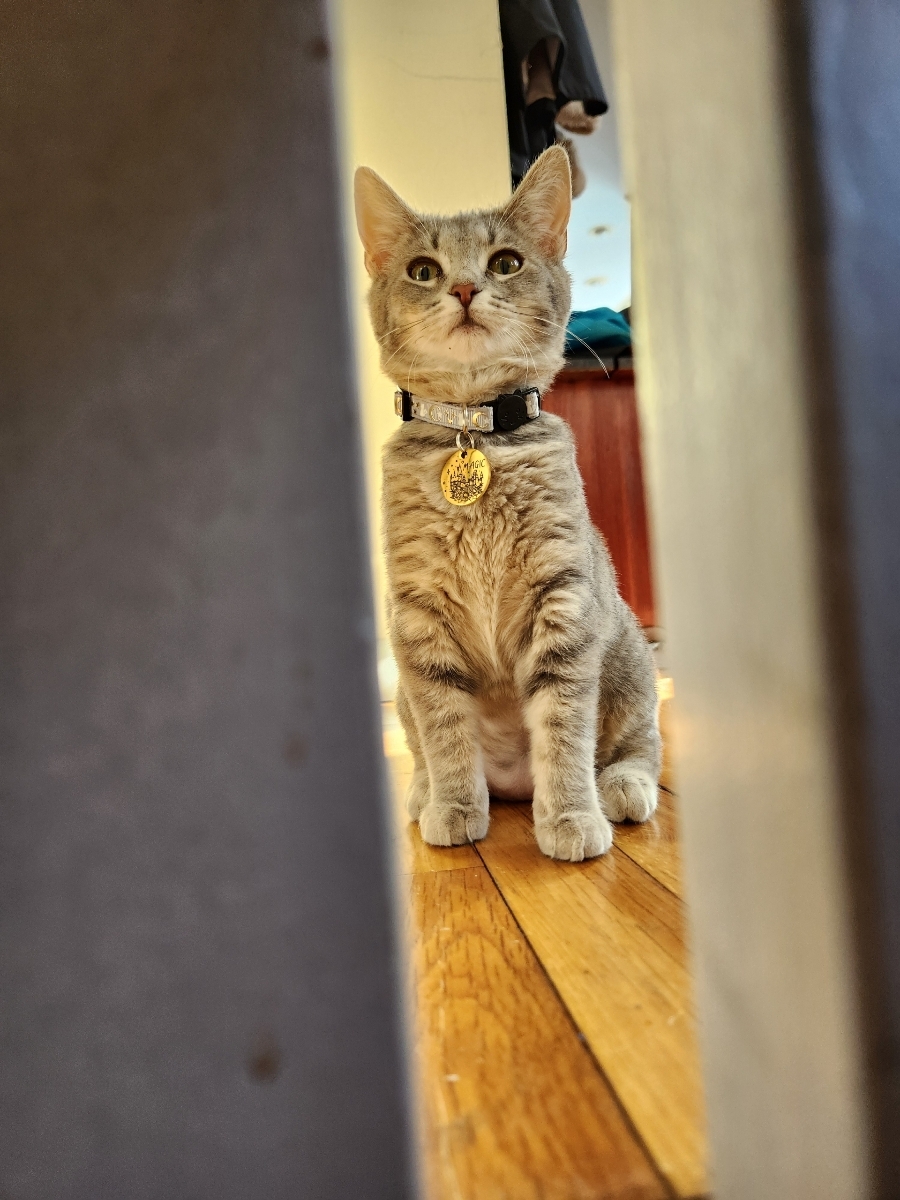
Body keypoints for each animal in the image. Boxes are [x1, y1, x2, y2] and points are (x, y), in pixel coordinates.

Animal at [354, 145, 661, 861]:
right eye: (423, 270)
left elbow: (563, 727)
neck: (474, 430)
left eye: (505, 262)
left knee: (638, 744)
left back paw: (621, 787)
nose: (465, 289)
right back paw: (424, 794)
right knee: (422, 743)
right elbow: (445, 731)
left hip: (629, 664)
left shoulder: (563, 600)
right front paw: (454, 806)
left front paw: (572, 815)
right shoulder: (419, 618)